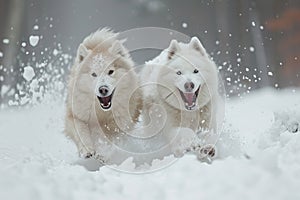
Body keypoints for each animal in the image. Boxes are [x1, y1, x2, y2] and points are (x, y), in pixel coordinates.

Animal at [63, 28, 143, 162]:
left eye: (110, 71)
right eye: (94, 74)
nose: (103, 89)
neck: (101, 113)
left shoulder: (118, 127)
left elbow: (109, 140)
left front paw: (103, 153)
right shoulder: (75, 116)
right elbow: (82, 132)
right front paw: (87, 151)